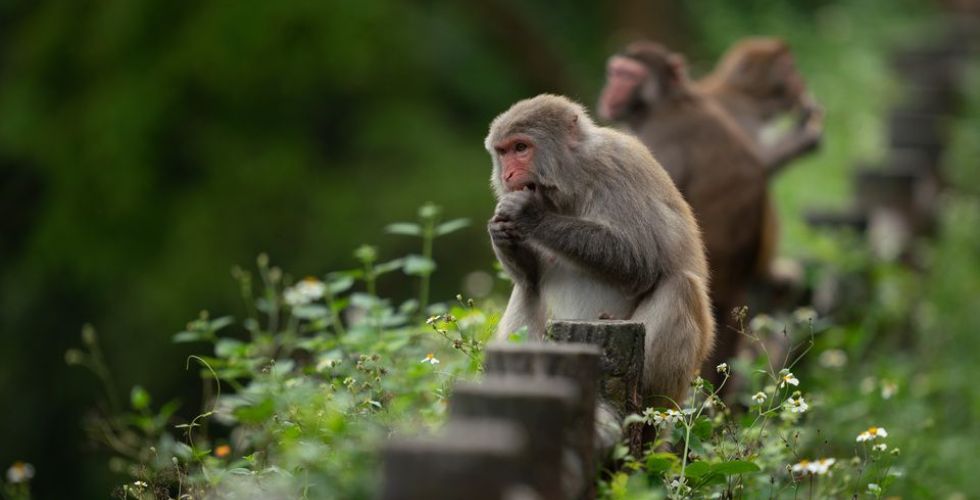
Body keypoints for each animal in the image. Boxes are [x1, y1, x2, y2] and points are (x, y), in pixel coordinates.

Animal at [485, 94, 714, 411]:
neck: (572, 180)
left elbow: (639, 261)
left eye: (521, 148)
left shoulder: (616, 167)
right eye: (503, 152)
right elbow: (530, 279)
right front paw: (501, 233)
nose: (507, 174)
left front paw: (530, 215)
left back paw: (644, 396)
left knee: (681, 286)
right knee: (527, 290)